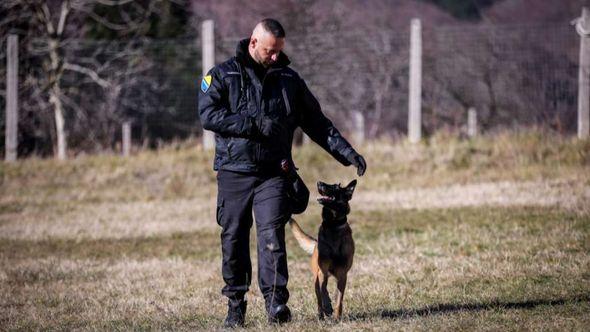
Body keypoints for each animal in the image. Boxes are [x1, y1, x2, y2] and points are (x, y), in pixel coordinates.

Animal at [290, 180, 358, 320]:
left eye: (336, 187)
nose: (319, 182)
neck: (333, 226)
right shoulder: (322, 271)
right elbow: (324, 290)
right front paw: (328, 307)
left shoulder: (342, 274)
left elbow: (339, 299)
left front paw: (337, 317)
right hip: (316, 278)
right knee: (319, 298)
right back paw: (321, 315)